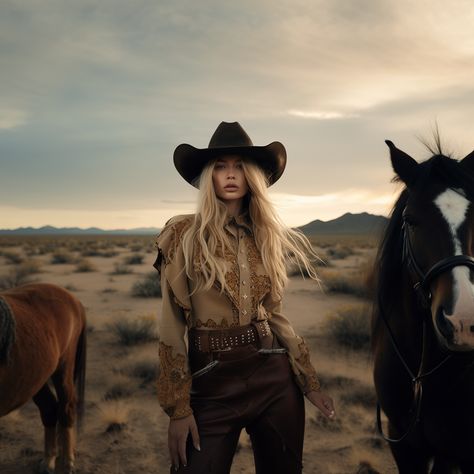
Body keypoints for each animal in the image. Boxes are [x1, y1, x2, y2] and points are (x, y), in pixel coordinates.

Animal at [0, 284, 86, 472]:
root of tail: (73, 299)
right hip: (36, 378)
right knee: (49, 407)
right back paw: (49, 460)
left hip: (63, 367)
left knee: (66, 406)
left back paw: (67, 461)